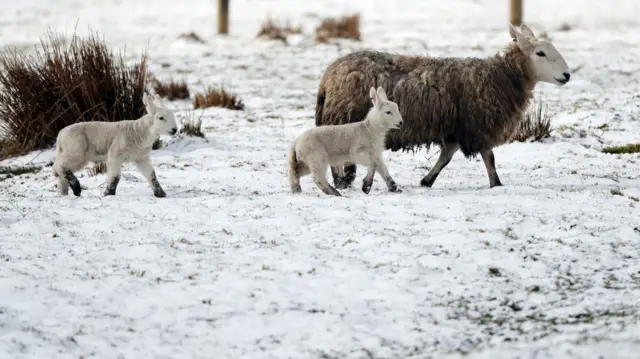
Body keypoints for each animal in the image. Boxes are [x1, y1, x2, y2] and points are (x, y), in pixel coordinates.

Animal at [316, 23, 568, 190]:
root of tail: (329, 74)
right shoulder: (478, 125)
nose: (567, 75)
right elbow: (489, 157)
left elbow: (446, 157)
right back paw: (341, 180)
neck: (502, 76)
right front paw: (496, 183)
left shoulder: (457, 127)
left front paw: (427, 180)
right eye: (540, 53)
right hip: (341, 118)